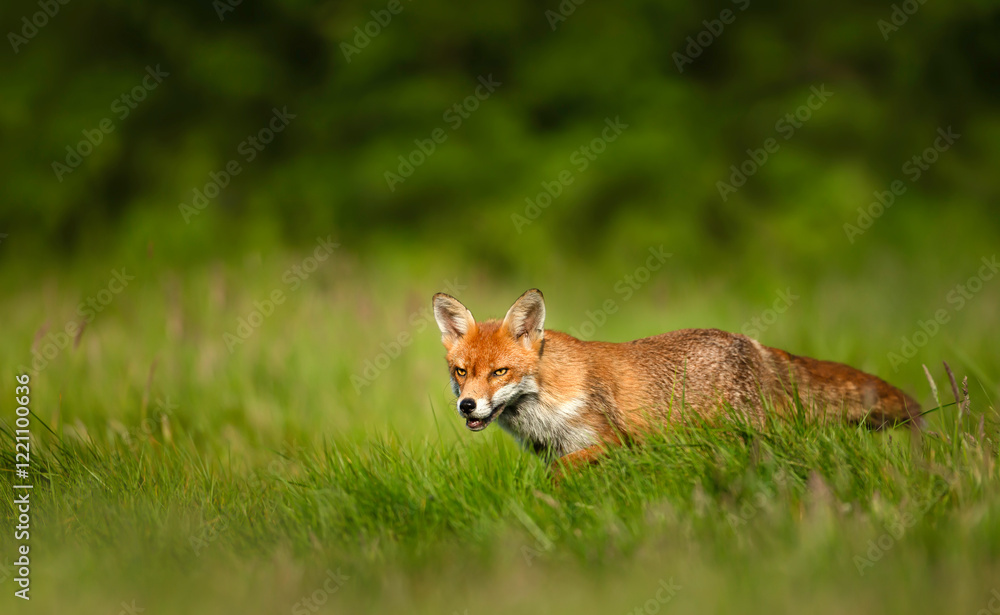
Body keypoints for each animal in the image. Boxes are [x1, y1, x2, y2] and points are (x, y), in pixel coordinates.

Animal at [432, 289, 923, 473]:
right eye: (462, 372)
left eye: (500, 372)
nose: (467, 405)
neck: (544, 402)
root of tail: (753, 343)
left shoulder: (613, 439)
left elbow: (560, 474)